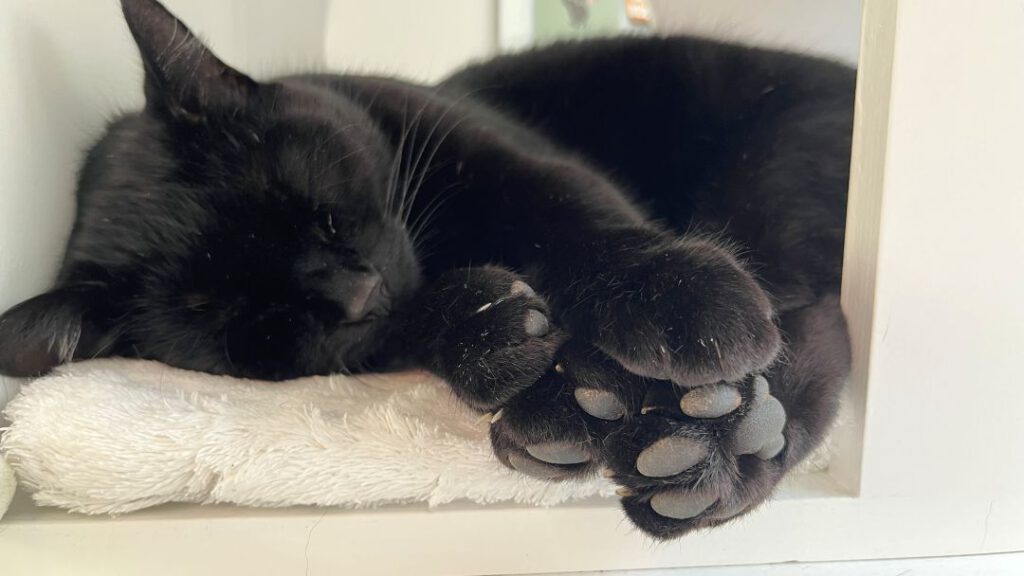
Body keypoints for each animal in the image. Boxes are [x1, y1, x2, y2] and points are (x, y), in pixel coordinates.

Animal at [0, 0, 853, 539]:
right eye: (262, 321)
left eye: (320, 211)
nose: (356, 290)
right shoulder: (377, 330)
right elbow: (424, 325)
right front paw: (527, 366)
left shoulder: (492, 152)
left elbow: (576, 218)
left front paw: (676, 292)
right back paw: (697, 445)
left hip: (774, 171)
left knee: (820, 322)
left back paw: (715, 435)